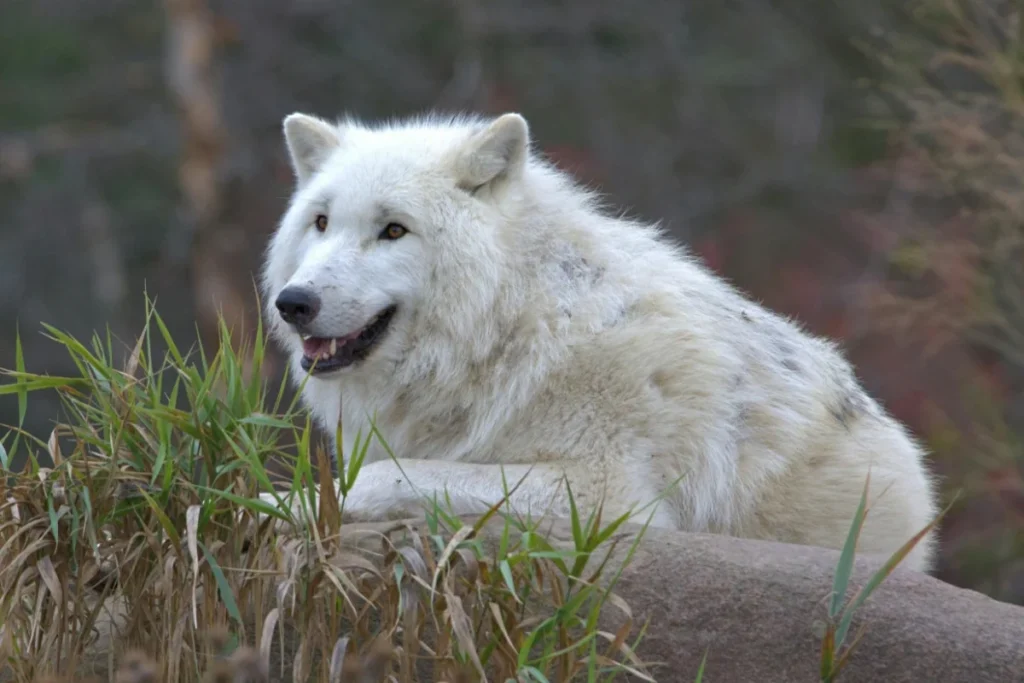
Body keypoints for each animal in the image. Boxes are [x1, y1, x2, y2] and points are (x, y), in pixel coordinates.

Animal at [259, 110, 940, 571]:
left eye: (394, 230)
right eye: (321, 222)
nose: (295, 303)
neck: (509, 328)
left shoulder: (606, 496)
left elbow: (383, 479)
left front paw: (283, 502)